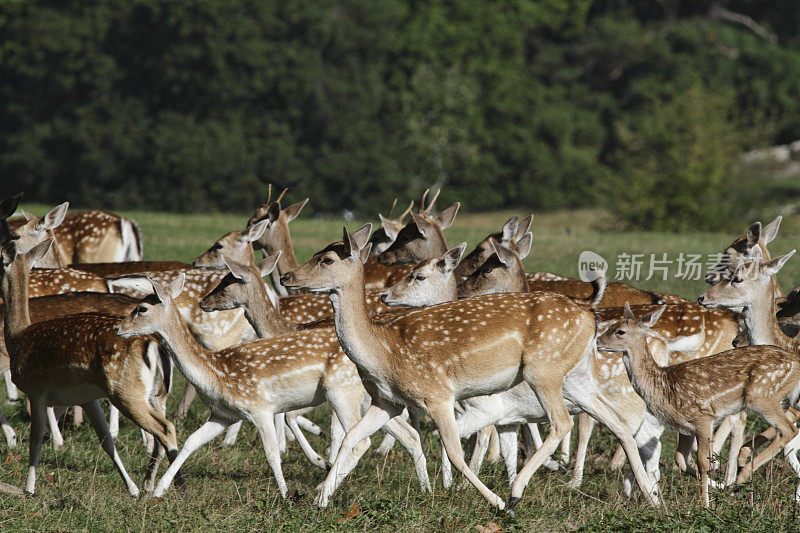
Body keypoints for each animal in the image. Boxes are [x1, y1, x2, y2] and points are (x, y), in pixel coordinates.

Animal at [1, 239, 184, 496]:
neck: (18, 338)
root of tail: (154, 344)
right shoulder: (86, 397)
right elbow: (106, 440)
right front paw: (132, 489)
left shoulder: (36, 389)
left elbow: (35, 438)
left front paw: (29, 489)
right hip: (155, 394)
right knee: (161, 432)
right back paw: (153, 483)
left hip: (126, 391)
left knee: (166, 429)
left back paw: (169, 486)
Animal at [278, 223, 660, 512]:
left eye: (327, 259)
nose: (286, 277)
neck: (383, 353)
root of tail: (587, 314)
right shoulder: (388, 402)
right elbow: (351, 439)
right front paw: (321, 500)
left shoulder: (437, 394)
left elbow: (454, 451)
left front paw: (493, 501)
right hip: (575, 377)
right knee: (616, 422)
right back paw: (652, 498)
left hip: (543, 370)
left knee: (563, 422)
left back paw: (516, 493)